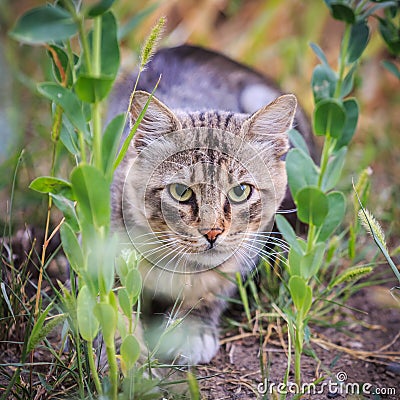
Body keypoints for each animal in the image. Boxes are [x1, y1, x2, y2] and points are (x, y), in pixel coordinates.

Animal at [110, 44, 312, 366]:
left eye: (240, 191)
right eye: (181, 191)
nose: (212, 232)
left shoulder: (240, 257)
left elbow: (211, 289)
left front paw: (190, 327)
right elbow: (110, 309)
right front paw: (124, 358)